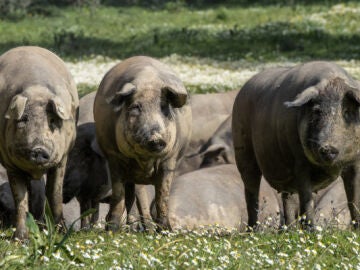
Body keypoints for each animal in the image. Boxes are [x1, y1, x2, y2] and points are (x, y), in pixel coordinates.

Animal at [0, 46, 79, 238]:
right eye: (23, 120)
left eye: (52, 120)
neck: (36, 90)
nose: (38, 149)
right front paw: (21, 239)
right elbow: (20, 198)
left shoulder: (62, 158)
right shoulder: (10, 164)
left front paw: (61, 233)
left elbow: (54, 193)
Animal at [94, 56, 193, 231]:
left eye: (164, 108)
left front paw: (166, 230)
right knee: (130, 195)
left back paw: (146, 229)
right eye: (136, 107)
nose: (156, 138)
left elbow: (162, 196)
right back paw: (130, 228)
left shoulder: (170, 158)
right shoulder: (113, 156)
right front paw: (112, 230)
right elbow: (118, 194)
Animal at [232, 61, 360, 230]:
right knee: (251, 192)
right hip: (243, 152)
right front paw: (311, 230)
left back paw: (288, 230)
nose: (327, 148)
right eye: (316, 112)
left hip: (285, 175)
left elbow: (354, 198)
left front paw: (356, 229)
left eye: (346, 112)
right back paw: (254, 230)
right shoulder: (299, 162)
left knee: (288, 198)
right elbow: (306, 199)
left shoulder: (355, 162)